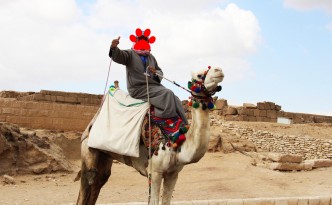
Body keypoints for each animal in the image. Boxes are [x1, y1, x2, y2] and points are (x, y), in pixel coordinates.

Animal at [76, 66, 224, 204]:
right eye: (199, 75)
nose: (219, 70)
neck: (175, 140)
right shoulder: (155, 172)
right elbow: (154, 201)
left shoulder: (173, 173)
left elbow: (166, 201)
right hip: (87, 149)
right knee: (88, 182)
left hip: (105, 156)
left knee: (99, 182)